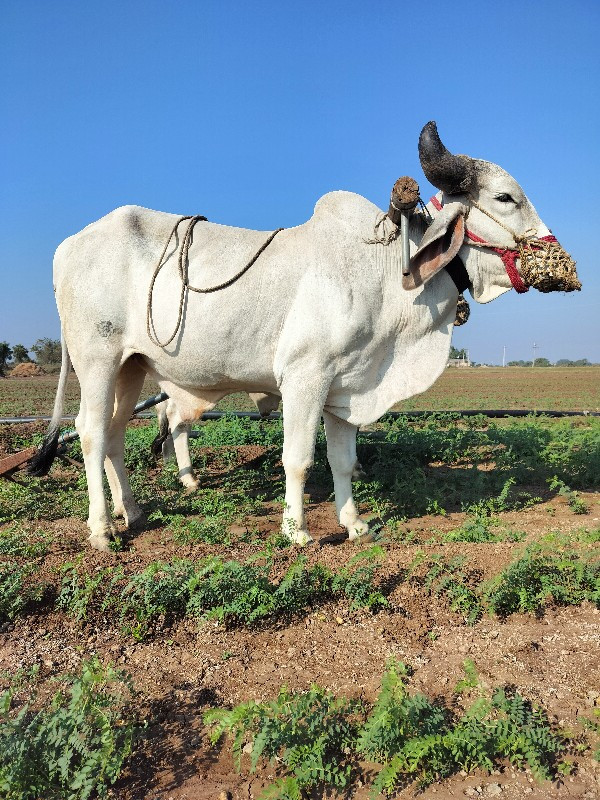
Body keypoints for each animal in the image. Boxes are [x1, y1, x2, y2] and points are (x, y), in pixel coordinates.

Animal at [30, 122, 580, 552]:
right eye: (506, 198)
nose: (567, 266)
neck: (384, 272)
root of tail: (67, 246)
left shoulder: (347, 388)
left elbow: (344, 460)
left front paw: (354, 523)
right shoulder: (304, 377)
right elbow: (298, 459)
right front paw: (296, 531)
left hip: (132, 365)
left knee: (116, 433)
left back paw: (133, 512)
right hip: (97, 359)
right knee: (90, 431)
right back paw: (101, 529)